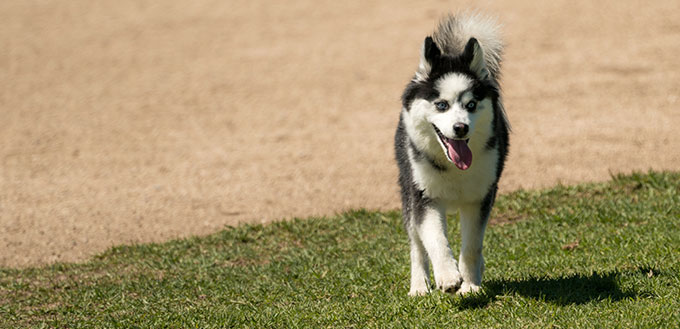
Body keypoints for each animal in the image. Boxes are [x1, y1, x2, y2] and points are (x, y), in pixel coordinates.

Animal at [394, 13, 510, 294]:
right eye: (441, 105)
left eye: (471, 104)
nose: (460, 128)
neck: (454, 168)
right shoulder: (424, 197)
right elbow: (434, 239)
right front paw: (447, 276)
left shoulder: (480, 198)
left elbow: (472, 246)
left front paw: (470, 284)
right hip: (407, 189)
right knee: (416, 245)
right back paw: (419, 285)